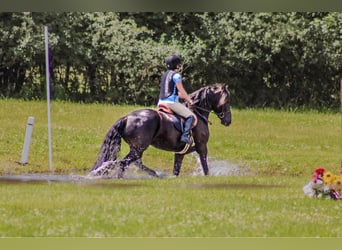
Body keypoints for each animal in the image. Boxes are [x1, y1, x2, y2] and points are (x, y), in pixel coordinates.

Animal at [89, 84, 231, 178]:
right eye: (226, 101)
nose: (228, 121)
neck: (198, 113)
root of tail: (126, 117)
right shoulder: (202, 147)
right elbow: (205, 166)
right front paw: (208, 177)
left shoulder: (181, 152)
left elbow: (176, 169)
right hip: (139, 148)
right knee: (124, 163)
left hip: (137, 149)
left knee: (134, 162)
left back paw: (153, 174)